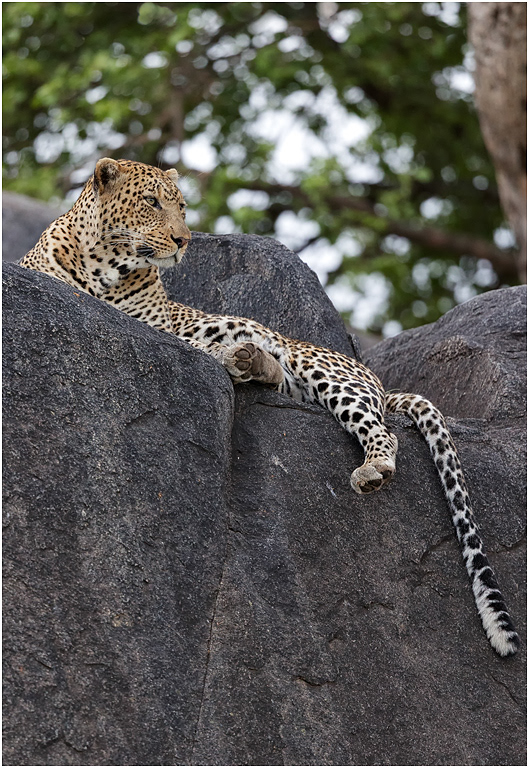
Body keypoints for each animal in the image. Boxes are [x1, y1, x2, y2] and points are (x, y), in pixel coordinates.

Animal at [19, 158, 520, 657]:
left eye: (181, 207)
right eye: (151, 202)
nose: (183, 240)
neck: (103, 266)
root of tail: (375, 376)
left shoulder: (163, 323)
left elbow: (186, 338)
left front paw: (225, 353)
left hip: (318, 369)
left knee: (378, 427)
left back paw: (365, 464)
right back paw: (249, 361)